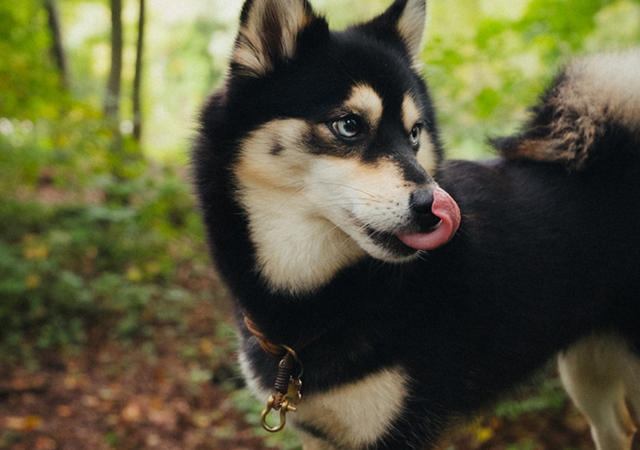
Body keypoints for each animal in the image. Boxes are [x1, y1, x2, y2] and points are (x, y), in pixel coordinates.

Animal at [192, 1, 640, 448]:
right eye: (349, 125)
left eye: (414, 134)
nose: (436, 207)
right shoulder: (318, 433)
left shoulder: (402, 432)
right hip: (588, 373)